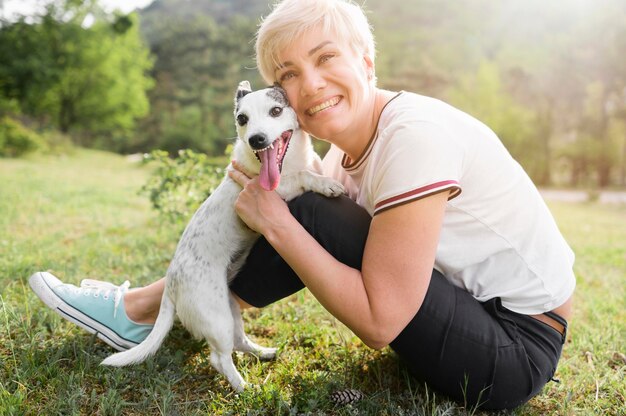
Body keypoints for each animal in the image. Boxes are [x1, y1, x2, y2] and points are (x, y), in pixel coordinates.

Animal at [102, 80, 346, 390]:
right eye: (242, 119)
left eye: (276, 110)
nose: (255, 139)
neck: (289, 162)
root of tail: (171, 283)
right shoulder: (273, 190)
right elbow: (304, 176)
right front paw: (325, 185)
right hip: (216, 317)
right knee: (219, 358)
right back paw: (245, 388)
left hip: (229, 309)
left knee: (239, 341)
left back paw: (262, 353)